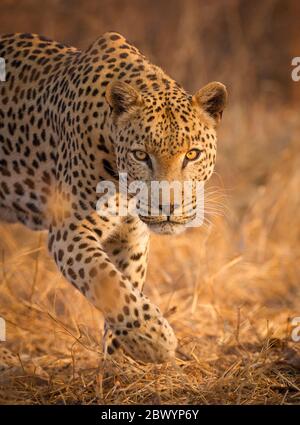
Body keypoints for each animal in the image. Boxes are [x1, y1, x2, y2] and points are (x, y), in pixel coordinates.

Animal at [0, 31, 226, 362]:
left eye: (192, 154)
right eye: (141, 155)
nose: (168, 206)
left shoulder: (131, 237)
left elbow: (126, 284)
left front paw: (121, 360)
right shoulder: (69, 230)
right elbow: (107, 282)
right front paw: (155, 339)